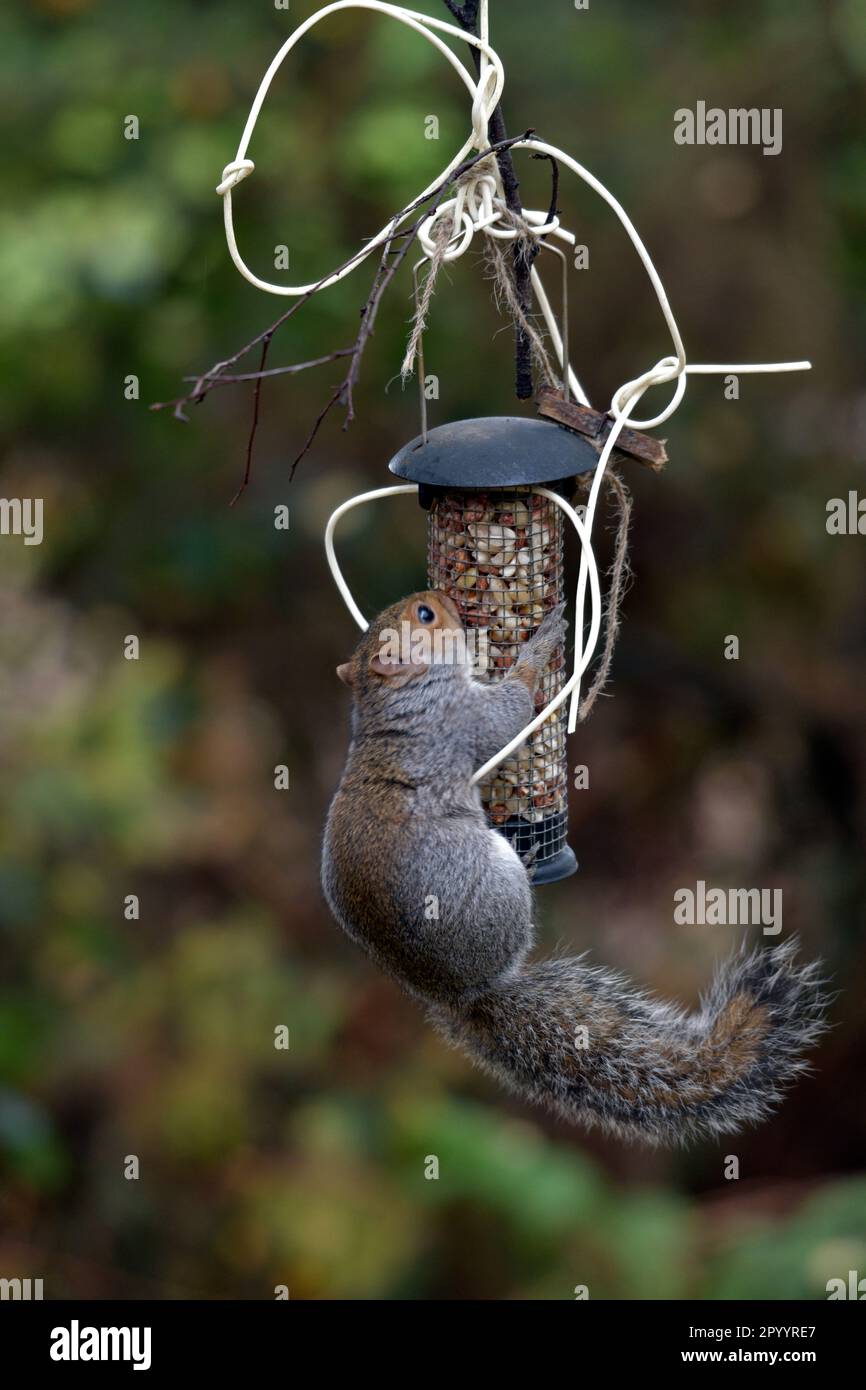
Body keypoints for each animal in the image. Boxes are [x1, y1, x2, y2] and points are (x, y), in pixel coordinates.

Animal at [321, 590, 829, 1145]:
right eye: (427, 617)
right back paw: (527, 862)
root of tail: (461, 993)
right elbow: (511, 710)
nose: (441, 596)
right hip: (499, 886)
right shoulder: (462, 718)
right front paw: (539, 648)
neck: (390, 700)